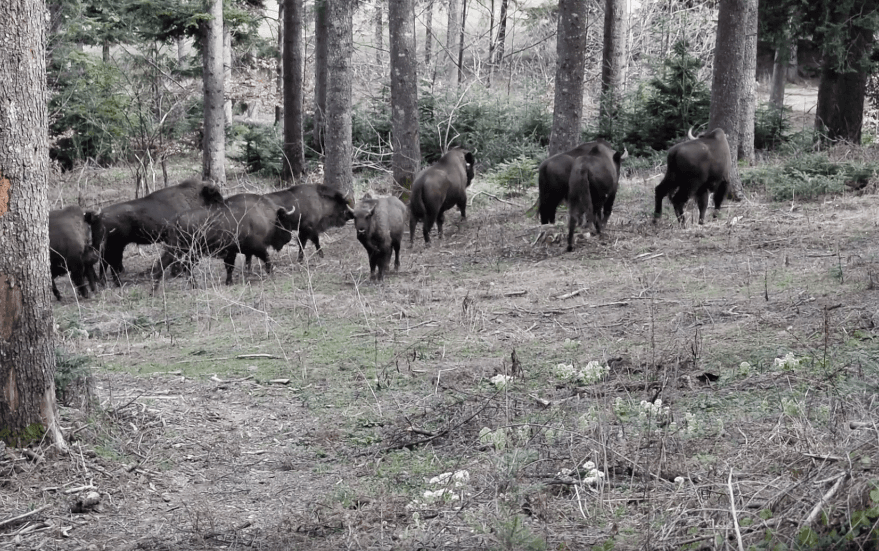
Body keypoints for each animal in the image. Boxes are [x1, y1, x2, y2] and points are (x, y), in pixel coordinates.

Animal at [152, 194, 297, 288]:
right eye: (284, 221)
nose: (289, 238)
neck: (265, 216)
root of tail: (175, 221)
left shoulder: (233, 252)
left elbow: (230, 267)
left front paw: (229, 282)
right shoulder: (257, 248)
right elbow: (266, 259)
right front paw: (272, 274)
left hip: (187, 252)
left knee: (179, 265)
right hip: (183, 250)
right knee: (170, 265)